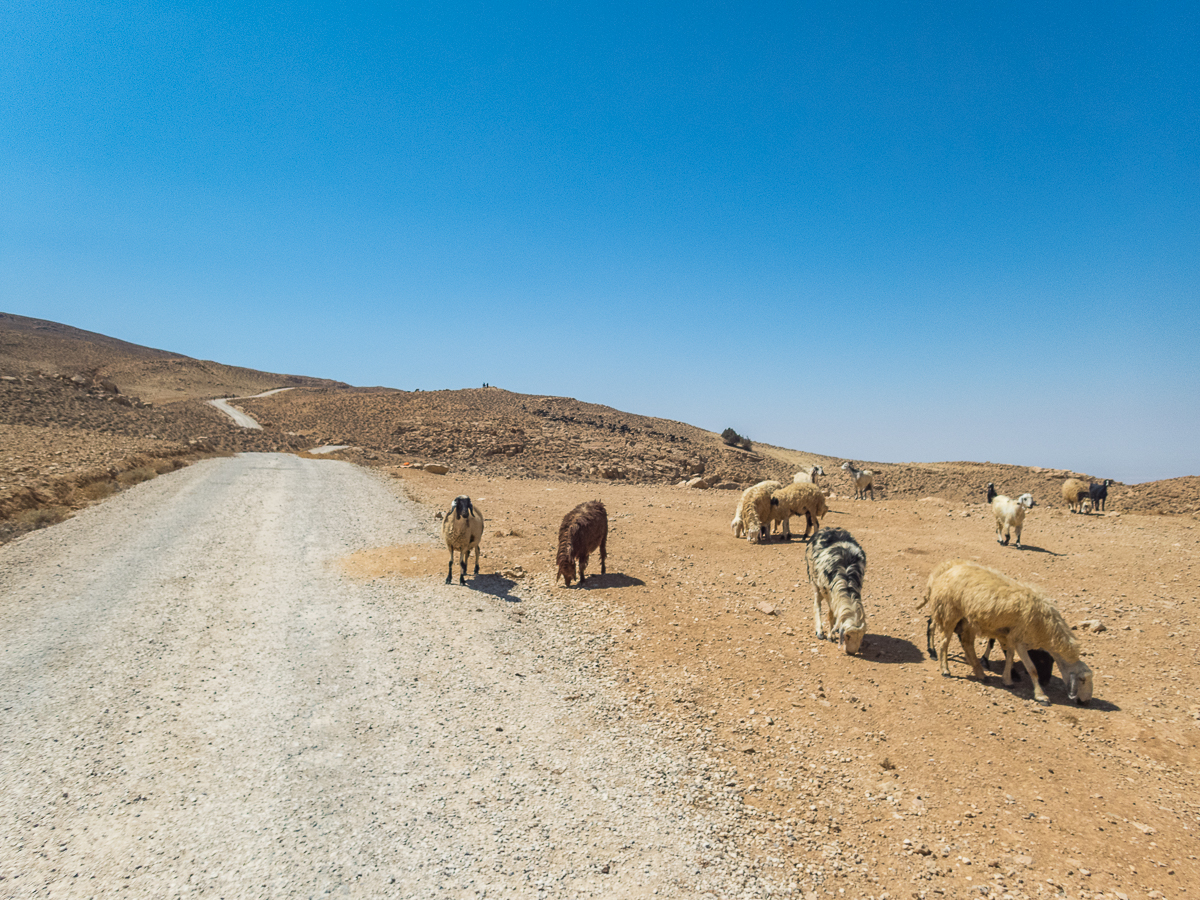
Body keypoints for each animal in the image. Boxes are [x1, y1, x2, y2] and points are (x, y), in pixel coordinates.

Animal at [801, 528, 868, 657]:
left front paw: (834, 629)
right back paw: (819, 631)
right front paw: (830, 636)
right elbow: (830, 614)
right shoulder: (828, 593)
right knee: (816, 604)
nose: (851, 652)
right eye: (847, 636)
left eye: (861, 637)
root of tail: (827, 528)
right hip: (815, 581)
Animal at [916, 561, 1099, 710]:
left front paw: (1008, 680)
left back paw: (981, 673)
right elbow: (1032, 669)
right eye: (1082, 680)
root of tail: (944, 571)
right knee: (944, 642)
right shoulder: (1019, 640)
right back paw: (945, 669)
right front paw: (1041, 696)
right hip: (950, 613)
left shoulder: (1011, 637)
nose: (1086, 702)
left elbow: (1009, 657)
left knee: (967, 643)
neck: (1046, 626)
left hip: (968, 621)